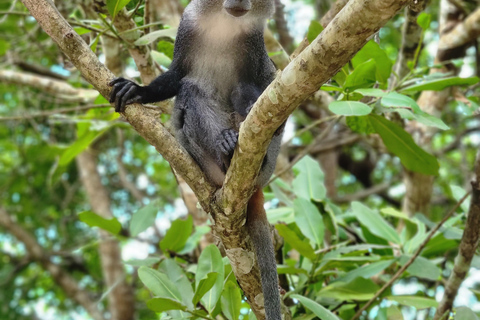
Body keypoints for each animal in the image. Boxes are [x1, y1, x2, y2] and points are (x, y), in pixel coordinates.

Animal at [108, 0, 282, 318]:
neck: (223, 24)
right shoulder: (188, 25)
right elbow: (178, 76)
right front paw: (138, 90)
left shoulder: (254, 43)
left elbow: (255, 85)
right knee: (190, 91)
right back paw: (225, 148)